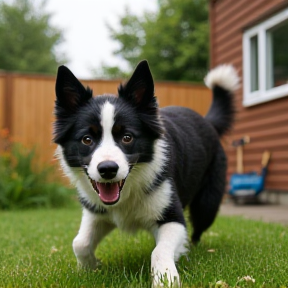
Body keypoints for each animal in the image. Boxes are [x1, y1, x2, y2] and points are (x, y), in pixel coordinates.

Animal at [54, 60, 238, 286]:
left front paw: (166, 278)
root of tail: (208, 122)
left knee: (198, 227)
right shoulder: (97, 212)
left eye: (127, 137)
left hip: (207, 204)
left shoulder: (173, 217)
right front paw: (90, 267)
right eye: (87, 139)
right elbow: (79, 242)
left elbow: (159, 250)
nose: (108, 169)